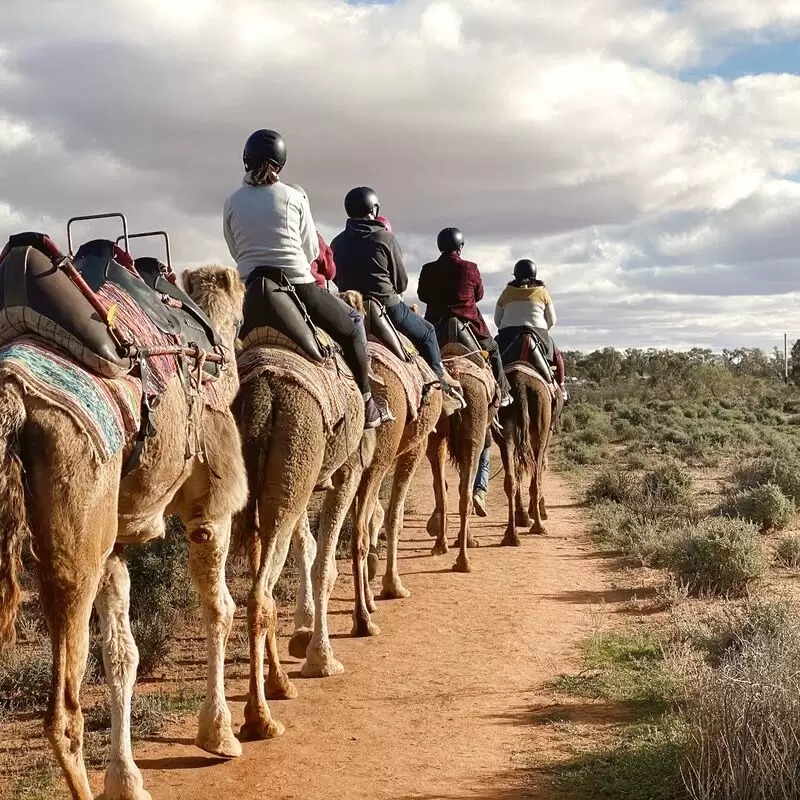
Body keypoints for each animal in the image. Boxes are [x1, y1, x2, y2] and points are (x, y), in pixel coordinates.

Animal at [0, 262, 247, 800]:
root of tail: (13, 400)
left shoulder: (112, 544)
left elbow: (122, 655)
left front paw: (126, 778)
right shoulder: (210, 507)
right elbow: (219, 608)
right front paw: (220, 733)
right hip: (75, 540)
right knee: (63, 715)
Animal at [231, 328, 376, 740]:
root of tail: (262, 392)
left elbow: (306, 549)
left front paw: (303, 637)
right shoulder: (348, 469)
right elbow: (324, 563)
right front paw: (322, 658)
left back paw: (278, 686)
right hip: (298, 454)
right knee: (260, 595)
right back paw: (260, 718)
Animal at [428, 346, 496, 572]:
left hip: (437, 430)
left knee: (441, 488)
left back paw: (441, 546)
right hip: (476, 423)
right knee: (465, 492)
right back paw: (464, 559)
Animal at [496, 368, 560, 544]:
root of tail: (520, 383)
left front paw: (523, 516)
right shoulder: (547, 434)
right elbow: (541, 467)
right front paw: (538, 511)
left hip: (505, 433)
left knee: (511, 480)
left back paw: (511, 535)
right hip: (540, 430)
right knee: (534, 478)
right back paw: (539, 526)